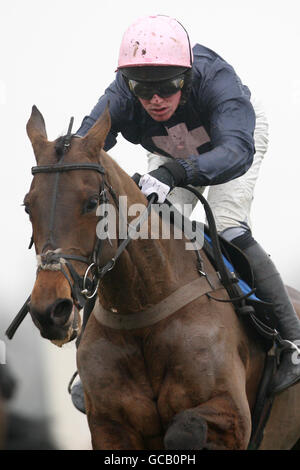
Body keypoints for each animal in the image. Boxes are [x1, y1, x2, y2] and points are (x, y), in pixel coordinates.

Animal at [24, 104, 300, 450]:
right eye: (27, 206)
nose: (50, 310)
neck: (143, 312)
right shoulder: (108, 426)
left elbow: (185, 428)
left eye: (91, 202)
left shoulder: (232, 417)